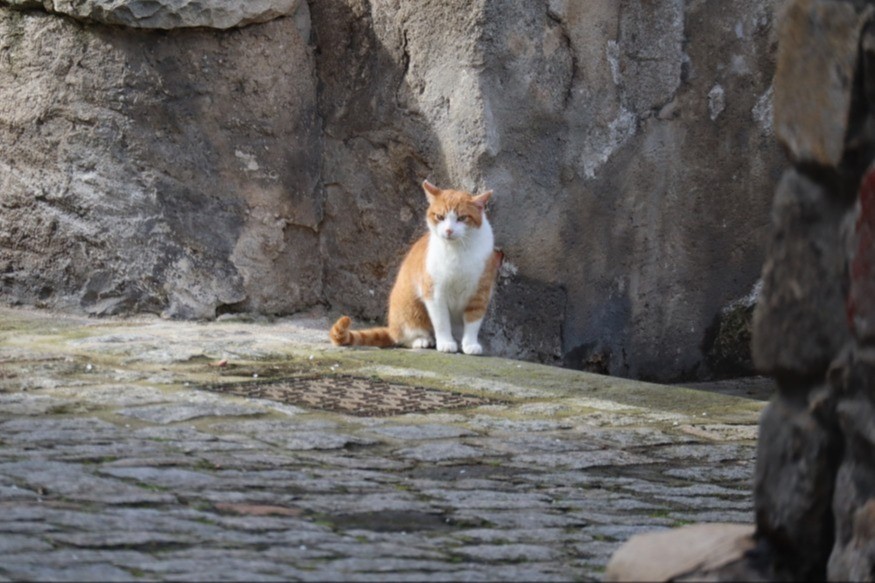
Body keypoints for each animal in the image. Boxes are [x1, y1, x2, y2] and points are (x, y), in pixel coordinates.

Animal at [330, 179, 502, 355]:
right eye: (440, 217)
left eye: (462, 218)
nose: (448, 230)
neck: (458, 250)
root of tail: (391, 328)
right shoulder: (434, 292)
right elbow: (441, 321)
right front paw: (446, 343)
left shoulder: (480, 292)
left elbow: (473, 322)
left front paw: (470, 344)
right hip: (410, 309)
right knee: (404, 337)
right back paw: (422, 340)